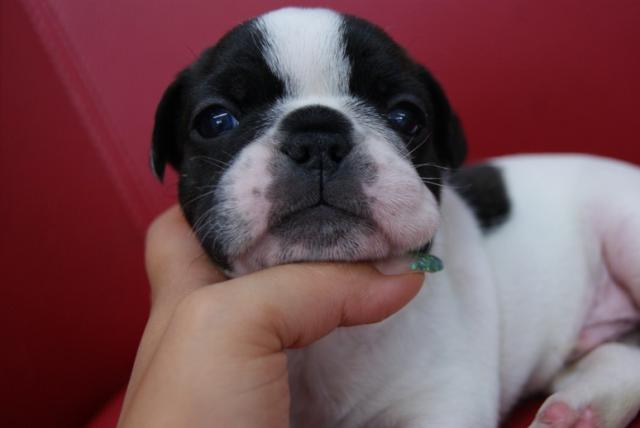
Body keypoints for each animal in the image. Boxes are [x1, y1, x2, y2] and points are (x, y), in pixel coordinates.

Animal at [150, 7, 640, 427]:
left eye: (406, 116)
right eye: (215, 121)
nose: (317, 135)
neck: (331, 341)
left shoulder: (444, 401)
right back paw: (578, 411)